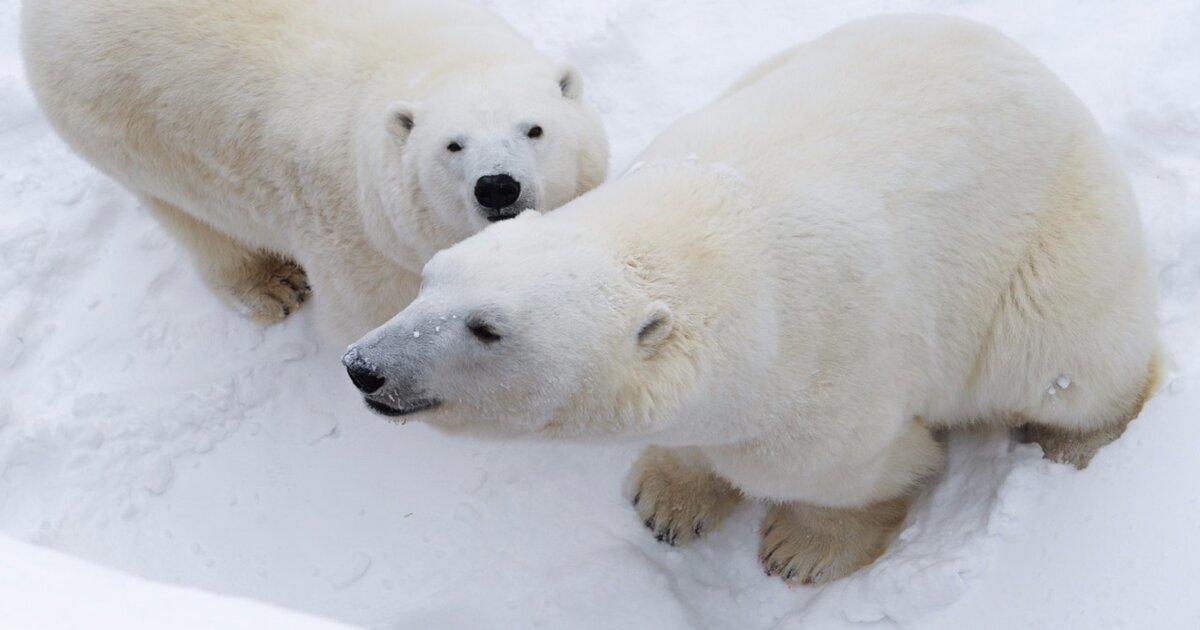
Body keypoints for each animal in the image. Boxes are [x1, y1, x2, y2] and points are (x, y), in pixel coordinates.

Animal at [22, 0, 609, 340]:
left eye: (534, 130)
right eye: (452, 146)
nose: (497, 187)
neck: (439, 61)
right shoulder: (358, 236)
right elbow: (376, 311)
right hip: (124, 129)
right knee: (194, 220)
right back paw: (273, 287)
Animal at [343, 15, 1156, 585]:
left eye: (487, 329)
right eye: (432, 278)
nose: (363, 366)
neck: (709, 230)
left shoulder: (835, 369)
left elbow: (843, 472)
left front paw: (805, 550)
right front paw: (667, 502)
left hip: (1056, 251)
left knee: (1066, 363)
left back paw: (1076, 439)